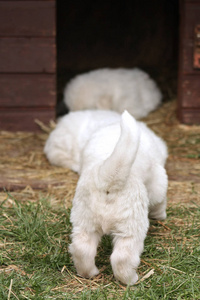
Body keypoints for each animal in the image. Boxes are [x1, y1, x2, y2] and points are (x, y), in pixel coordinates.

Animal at [44, 109, 168, 284]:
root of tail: (107, 179)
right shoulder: (159, 180)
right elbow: (160, 200)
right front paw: (160, 215)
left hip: (84, 221)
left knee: (82, 249)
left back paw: (89, 273)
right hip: (131, 227)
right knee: (122, 258)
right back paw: (131, 279)